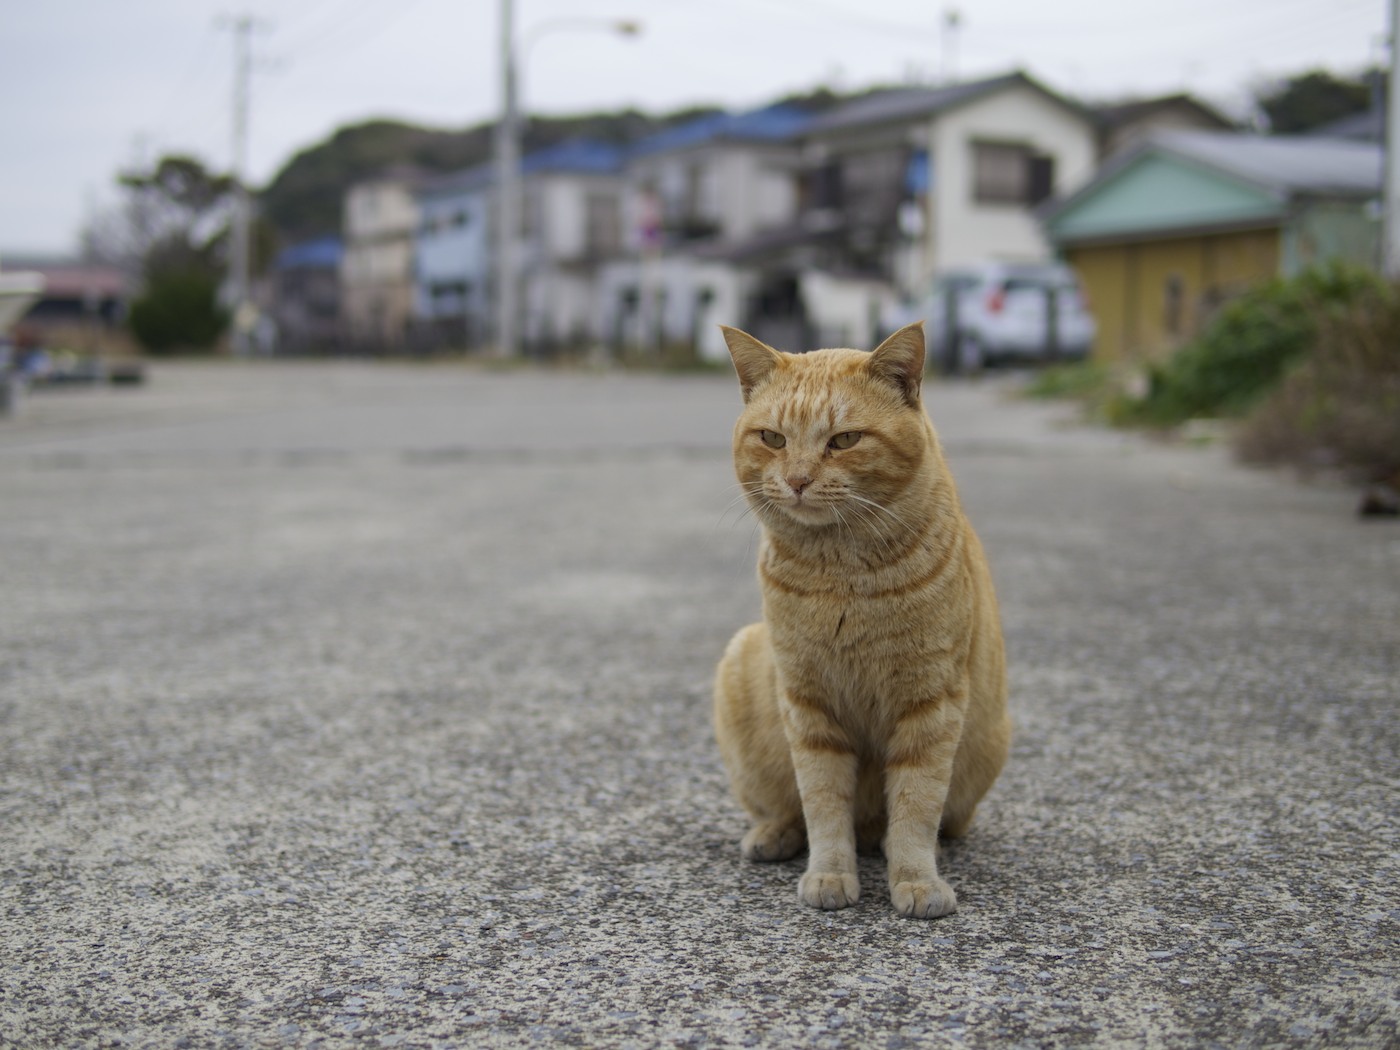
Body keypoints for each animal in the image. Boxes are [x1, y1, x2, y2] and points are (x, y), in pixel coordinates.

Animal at [716, 323, 1013, 918]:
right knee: (788, 809)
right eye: (773, 439)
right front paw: (829, 875)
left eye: (845, 440)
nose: (798, 479)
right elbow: (824, 805)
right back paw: (774, 835)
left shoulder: (931, 704)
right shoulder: (809, 706)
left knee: (918, 824)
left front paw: (916, 880)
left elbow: (916, 806)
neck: (843, 576)